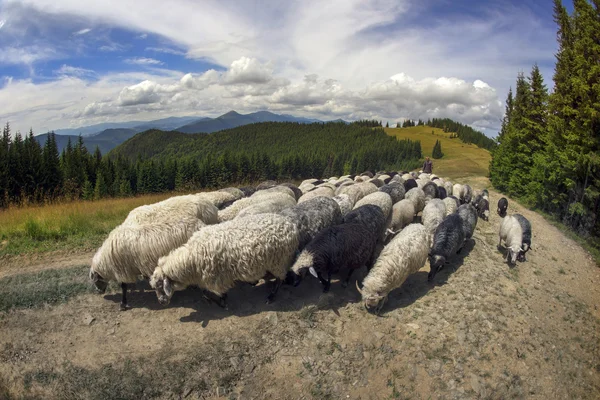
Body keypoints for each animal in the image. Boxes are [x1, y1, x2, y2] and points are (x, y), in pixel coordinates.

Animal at [90, 195, 219, 310]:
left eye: (95, 280)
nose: (99, 291)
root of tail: (211, 207)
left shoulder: (124, 268)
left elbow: (124, 286)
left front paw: (123, 304)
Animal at [150, 214, 300, 308]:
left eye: (160, 286)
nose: (161, 303)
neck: (191, 258)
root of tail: (291, 225)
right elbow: (204, 292)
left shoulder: (216, 278)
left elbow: (212, 293)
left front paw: (222, 303)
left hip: (279, 261)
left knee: (280, 279)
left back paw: (271, 296)